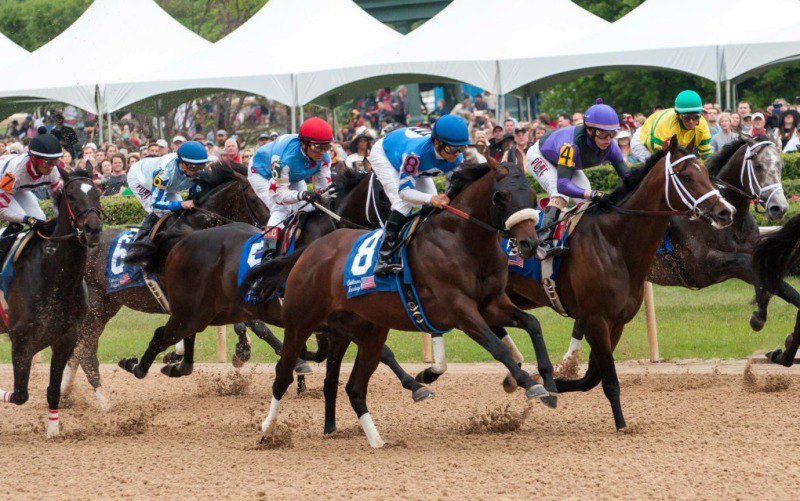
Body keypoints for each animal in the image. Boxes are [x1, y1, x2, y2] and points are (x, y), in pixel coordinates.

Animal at [0, 170, 103, 436]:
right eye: (71, 195)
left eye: (98, 192)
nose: (93, 229)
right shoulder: (21, 340)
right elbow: (20, 395)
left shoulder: (65, 339)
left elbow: (53, 390)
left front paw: (53, 431)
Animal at [61, 162, 268, 408]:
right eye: (254, 198)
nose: (269, 228)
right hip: (94, 303)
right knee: (85, 347)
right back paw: (102, 401)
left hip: (109, 305)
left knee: (81, 346)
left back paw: (65, 392)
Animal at [245, 159, 556, 446]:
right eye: (500, 196)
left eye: (531, 194)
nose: (529, 244)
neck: (462, 241)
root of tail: (310, 250)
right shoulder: (460, 310)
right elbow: (497, 347)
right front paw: (529, 384)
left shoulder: (491, 304)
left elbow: (533, 324)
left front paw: (550, 384)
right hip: (300, 322)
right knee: (283, 374)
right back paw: (268, 430)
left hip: (361, 330)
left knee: (350, 385)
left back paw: (370, 438)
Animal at [496, 136, 736, 430]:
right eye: (688, 176)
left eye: (706, 174)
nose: (726, 212)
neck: (614, 241)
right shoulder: (596, 319)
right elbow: (608, 379)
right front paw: (621, 424)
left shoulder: (616, 322)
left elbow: (592, 377)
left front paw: (545, 384)